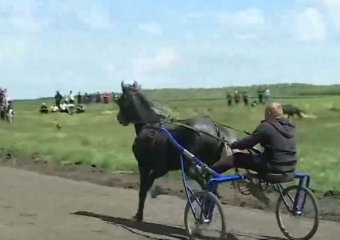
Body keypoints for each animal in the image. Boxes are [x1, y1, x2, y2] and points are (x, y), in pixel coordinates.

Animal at [113, 81, 238, 222]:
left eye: (121, 99)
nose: (119, 118)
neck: (151, 125)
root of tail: (216, 130)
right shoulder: (160, 168)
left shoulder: (146, 165)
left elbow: (143, 189)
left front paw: (139, 214)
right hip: (208, 167)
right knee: (210, 188)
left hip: (191, 167)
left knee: (207, 189)